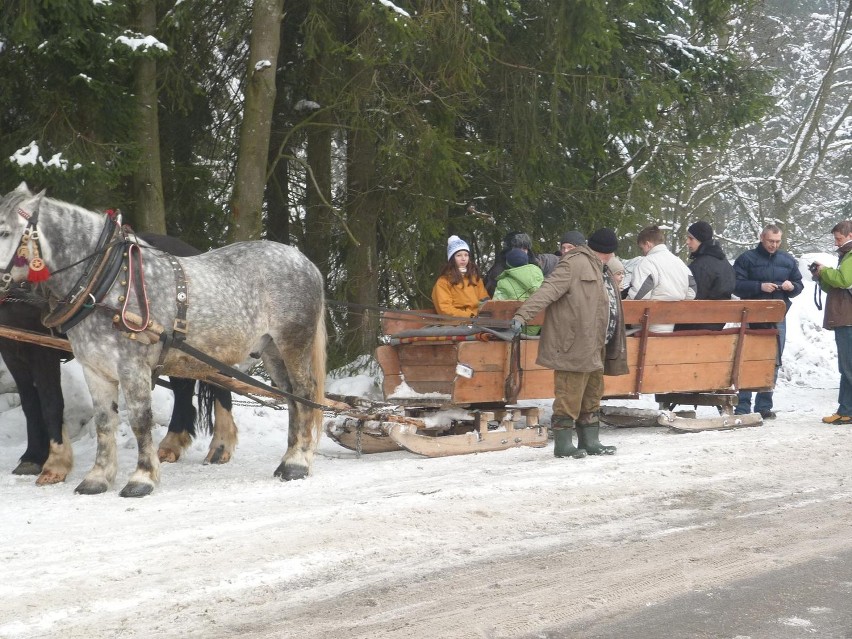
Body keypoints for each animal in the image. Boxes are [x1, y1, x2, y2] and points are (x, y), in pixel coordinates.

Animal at [0, 182, 326, 498]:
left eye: (4, 231)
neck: (105, 283)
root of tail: (306, 262)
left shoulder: (131, 366)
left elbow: (139, 420)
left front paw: (142, 478)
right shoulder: (94, 369)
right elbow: (104, 422)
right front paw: (97, 478)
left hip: (292, 341)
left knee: (304, 392)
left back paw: (297, 462)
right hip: (270, 349)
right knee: (289, 396)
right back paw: (288, 458)